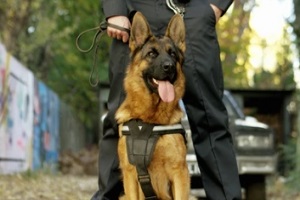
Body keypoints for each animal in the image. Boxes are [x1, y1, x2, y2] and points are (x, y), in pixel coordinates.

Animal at [115, 11, 190, 199]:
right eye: (151, 54)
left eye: (173, 54)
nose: (169, 66)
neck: (150, 119)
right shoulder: (130, 174)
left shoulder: (179, 173)